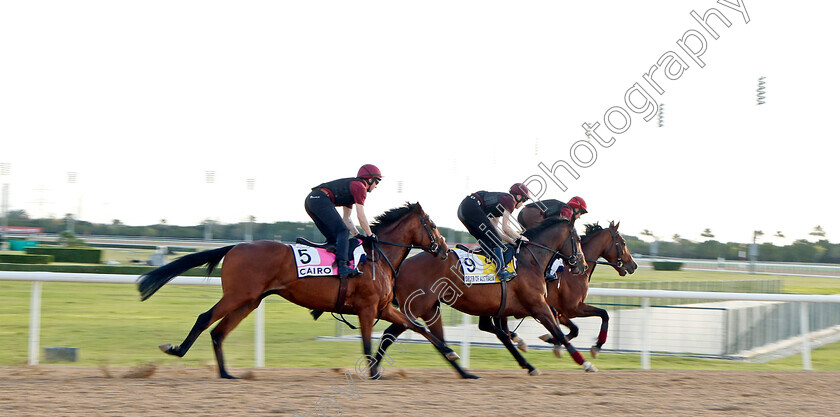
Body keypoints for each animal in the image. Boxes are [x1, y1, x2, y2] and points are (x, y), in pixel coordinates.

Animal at [138, 202, 456, 376]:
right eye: (432, 224)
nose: (443, 248)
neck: (378, 256)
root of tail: (236, 247)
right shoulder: (366, 309)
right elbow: (367, 343)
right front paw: (373, 372)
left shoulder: (384, 308)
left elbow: (418, 327)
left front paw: (450, 353)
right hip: (237, 295)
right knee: (206, 319)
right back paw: (177, 350)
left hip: (250, 300)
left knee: (219, 332)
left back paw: (227, 374)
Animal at [370, 216, 592, 378]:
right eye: (578, 239)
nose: (583, 265)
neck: (529, 260)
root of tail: (400, 266)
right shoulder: (538, 305)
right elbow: (558, 331)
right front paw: (585, 363)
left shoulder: (505, 308)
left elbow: (506, 333)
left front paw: (530, 357)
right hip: (416, 307)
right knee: (390, 334)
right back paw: (373, 369)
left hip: (432, 308)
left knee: (436, 338)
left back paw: (463, 370)